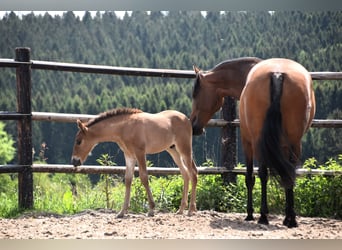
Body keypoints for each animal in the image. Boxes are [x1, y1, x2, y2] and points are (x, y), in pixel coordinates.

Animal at [190, 57, 316, 228]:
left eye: (195, 94)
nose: (193, 126)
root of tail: (277, 74)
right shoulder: (283, 146)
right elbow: (285, 175)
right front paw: (286, 217)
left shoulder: (247, 142)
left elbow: (250, 177)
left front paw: (250, 214)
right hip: (295, 142)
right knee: (289, 173)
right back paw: (292, 219)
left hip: (258, 142)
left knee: (263, 174)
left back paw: (263, 216)